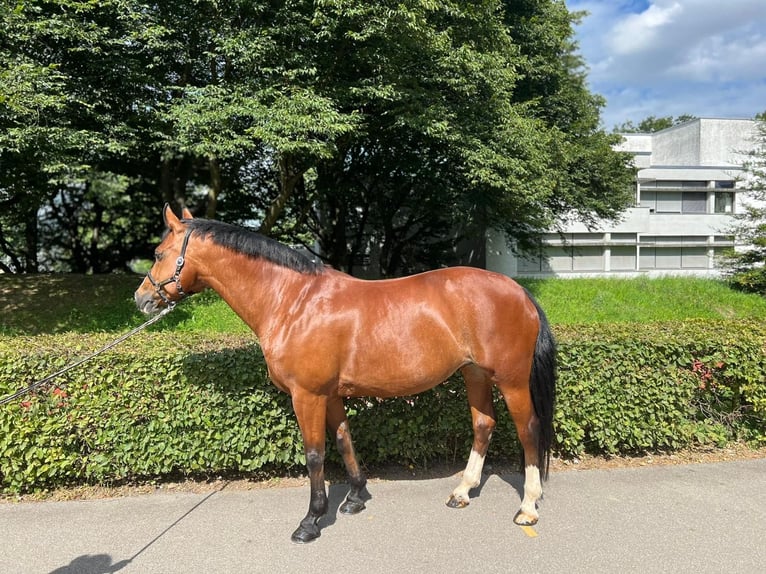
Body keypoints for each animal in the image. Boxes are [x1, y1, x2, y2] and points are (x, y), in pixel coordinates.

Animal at [136, 206, 560, 544]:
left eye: (158, 253)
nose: (141, 299)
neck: (293, 301)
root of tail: (520, 291)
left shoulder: (306, 395)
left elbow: (315, 455)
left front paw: (310, 521)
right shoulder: (330, 394)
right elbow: (343, 440)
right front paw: (355, 498)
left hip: (511, 381)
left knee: (528, 431)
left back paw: (528, 507)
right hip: (474, 375)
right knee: (483, 424)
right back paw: (462, 491)